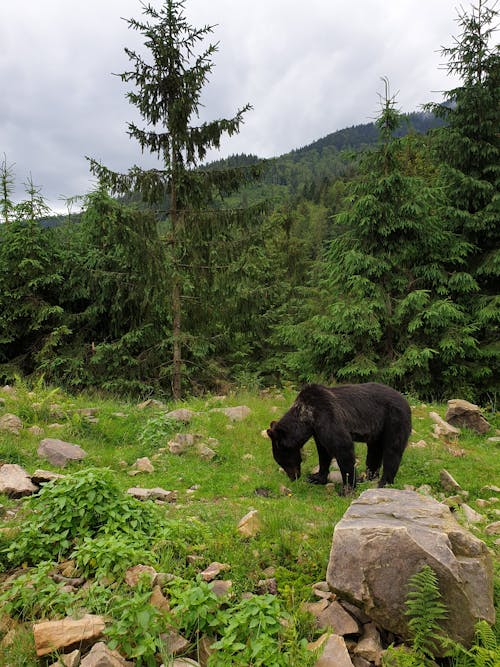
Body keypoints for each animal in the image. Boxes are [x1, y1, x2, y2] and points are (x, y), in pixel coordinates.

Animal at [266, 384, 410, 494]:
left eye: (282, 462)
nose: (293, 477)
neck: (308, 418)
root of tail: (405, 400)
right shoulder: (317, 431)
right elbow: (323, 452)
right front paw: (316, 477)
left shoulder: (327, 416)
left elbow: (342, 447)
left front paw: (347, 488)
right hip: (378, 429)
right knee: (374, 451)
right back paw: (367, 477)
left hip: (394, 420)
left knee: (392, 450)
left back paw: (384, 482)